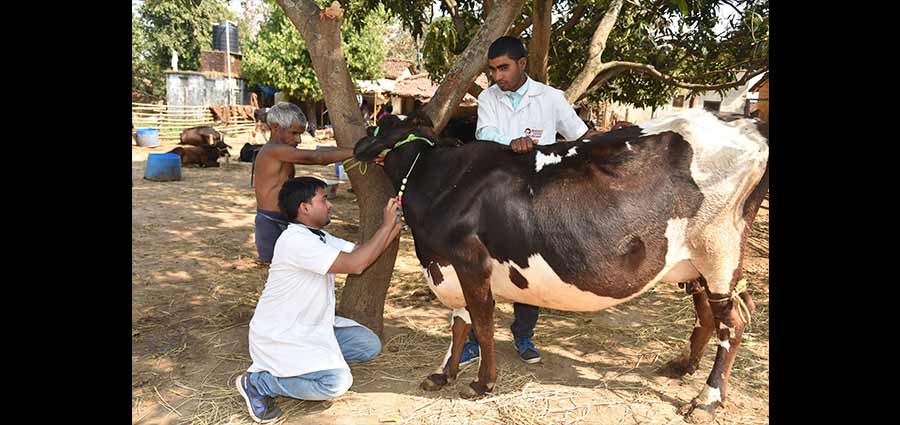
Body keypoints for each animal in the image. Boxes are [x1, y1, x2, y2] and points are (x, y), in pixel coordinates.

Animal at [352, 108, 768, 420]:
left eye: (382, 124)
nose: (358, 142)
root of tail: (747, 123)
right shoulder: (449, 268)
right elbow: (458, 326)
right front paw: (443, 374)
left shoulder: (470, 263)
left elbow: (482, 327)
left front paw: (483, 383)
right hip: (696, 261)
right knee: (706, 314)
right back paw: (684, 367)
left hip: (720, 249)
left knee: (732, 323)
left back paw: (707, 400)